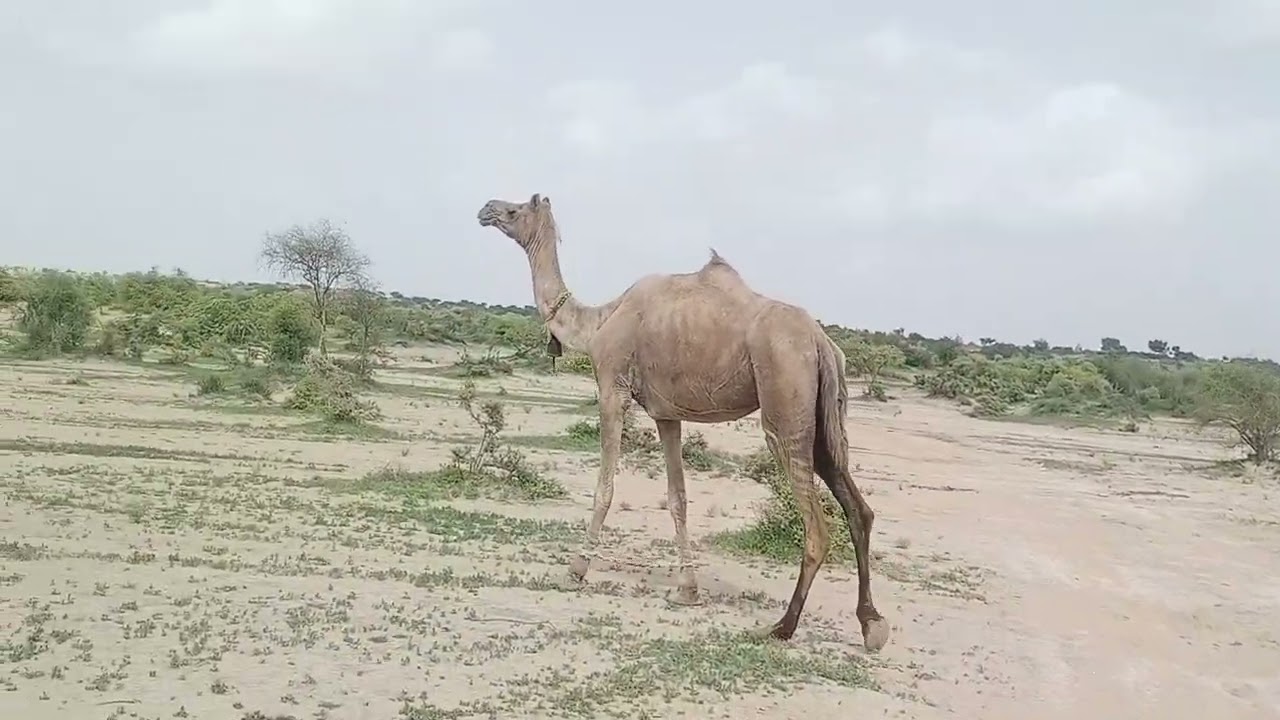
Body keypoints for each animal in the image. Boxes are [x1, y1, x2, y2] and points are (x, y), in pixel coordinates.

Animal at [476, 193, 891, 652]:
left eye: (515, 210)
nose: (486, 208)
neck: (598, 321)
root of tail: (821, 342)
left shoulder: (612, 387)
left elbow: (605, 485)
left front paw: (577, 568)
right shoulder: (667, 414)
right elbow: (678, 498)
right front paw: (687, 589)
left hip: (785, 404)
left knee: (816, 525)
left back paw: (782, 626)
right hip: (824, 418)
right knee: (858, 509)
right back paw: (872, 624)